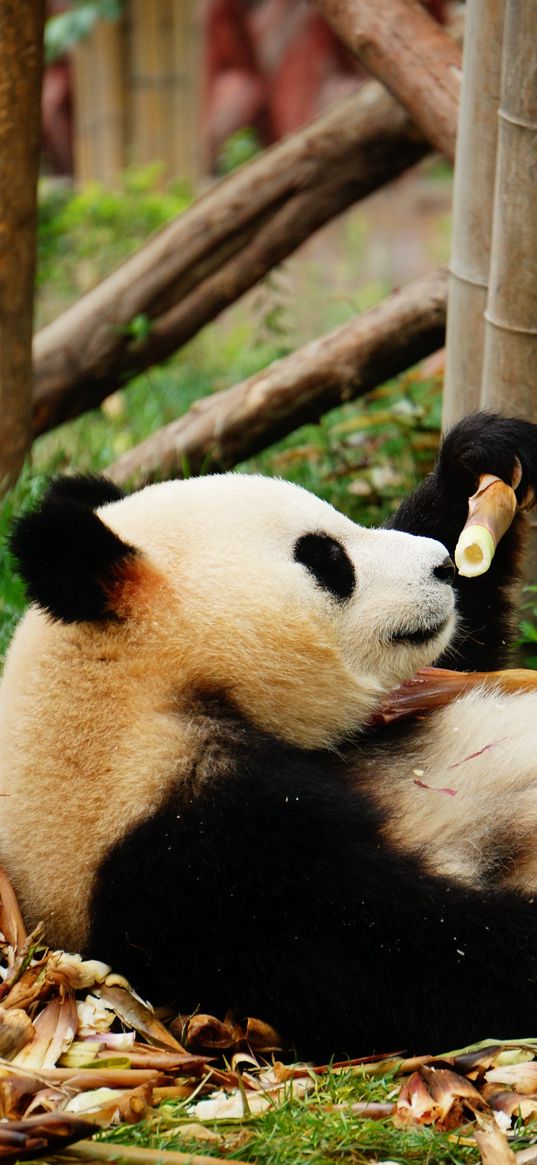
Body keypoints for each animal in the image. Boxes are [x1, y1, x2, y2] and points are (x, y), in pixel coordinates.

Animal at [2, 414, 535, 1062]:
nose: (444, 567)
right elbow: (384, 952)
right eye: (326, 558)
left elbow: (464, 653)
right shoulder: (185, 851)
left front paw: (480, 457)